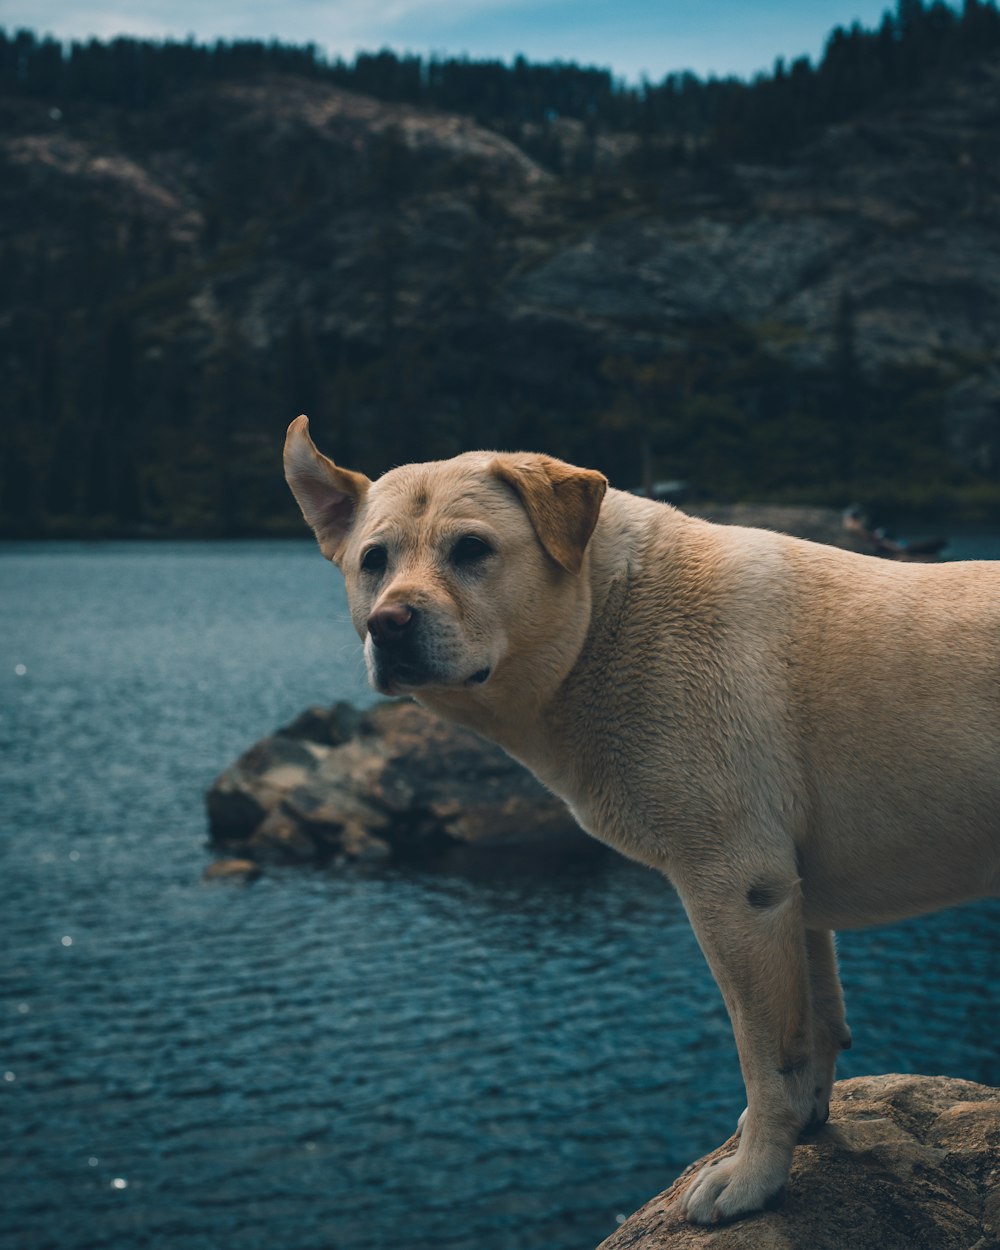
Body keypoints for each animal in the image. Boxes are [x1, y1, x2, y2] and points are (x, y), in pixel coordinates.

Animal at [281, 415, 1000, 1225]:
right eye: (373, 561)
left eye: (471, 550)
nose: (389, 623)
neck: (609, 612)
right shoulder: (791, 897)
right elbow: (813, 1030)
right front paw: (803, 1130)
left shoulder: (736, 891)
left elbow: (766, 1055)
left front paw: (753, 1179)